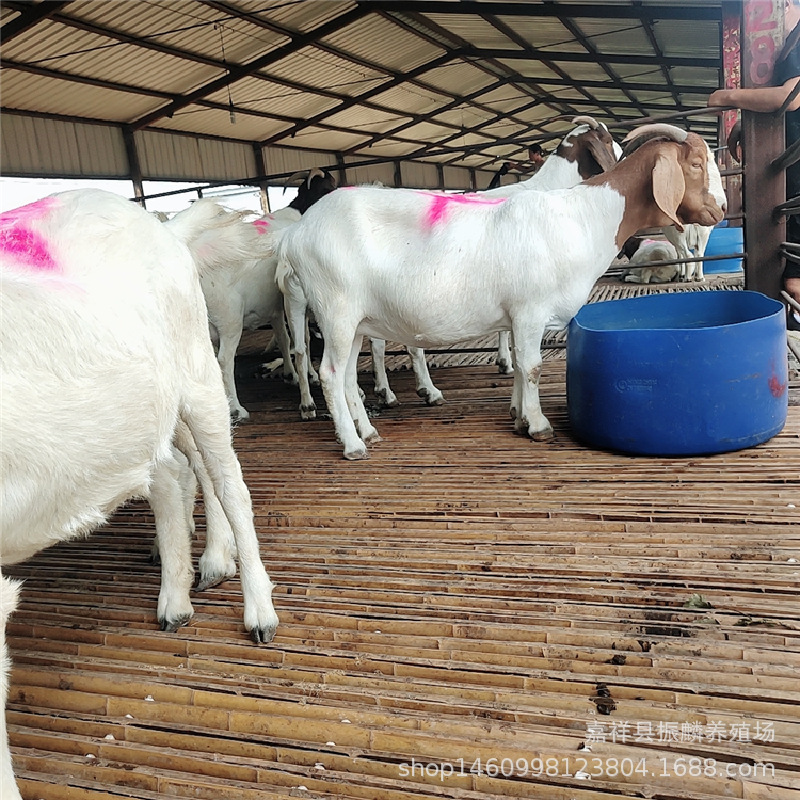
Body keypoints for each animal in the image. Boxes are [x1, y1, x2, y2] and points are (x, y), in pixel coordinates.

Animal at [0, 190, 279, 798]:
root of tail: (162, 226)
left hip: (197, 368)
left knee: (226, 479)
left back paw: (252, 602)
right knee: (172, 471)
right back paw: (177, 593)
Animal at [166, 169, 337, 421]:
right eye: (328, 187)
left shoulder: (274, 305)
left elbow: (285, 339)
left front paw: (291, 374)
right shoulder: (286, 302)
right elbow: (300, 339)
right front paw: (306, 376)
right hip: (229, 319)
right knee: (224, 361)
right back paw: (237, 409)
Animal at [622, 126, 727, 282]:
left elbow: (680, 255)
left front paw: (682, 274)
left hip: (679, 234)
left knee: (687, 254)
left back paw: (687, 277)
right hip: (703, 233)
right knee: (699, 254)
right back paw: (698, 277)